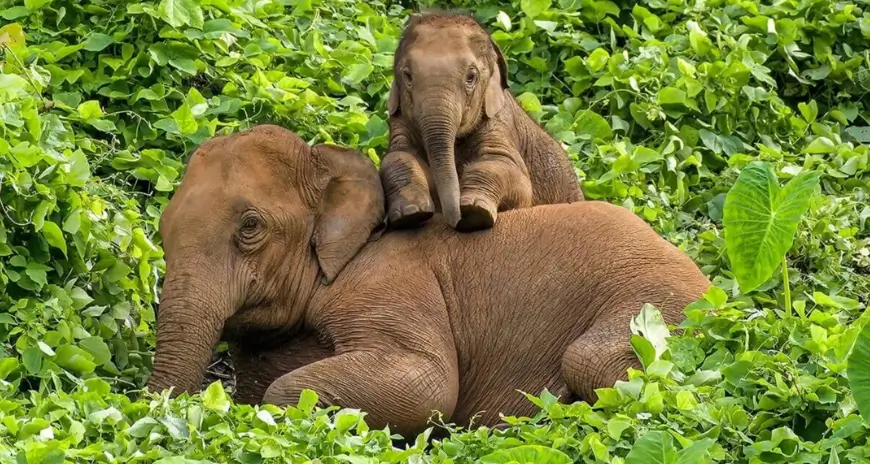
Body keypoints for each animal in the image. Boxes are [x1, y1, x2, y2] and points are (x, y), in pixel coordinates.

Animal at [147, 124, 711, 438]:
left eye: (250, 227)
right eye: (162, 229)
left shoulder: (392, 283)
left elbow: (426, 384)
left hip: (659, 306)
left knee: (588, 359)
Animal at [380, 12, 584, 232]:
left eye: (471, 77)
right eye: (408, 76)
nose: (456, 220)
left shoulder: (500, 124)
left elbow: (512, 173)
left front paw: (475, 211)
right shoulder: (399, 120)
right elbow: (398, 156)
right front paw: (411, 213)